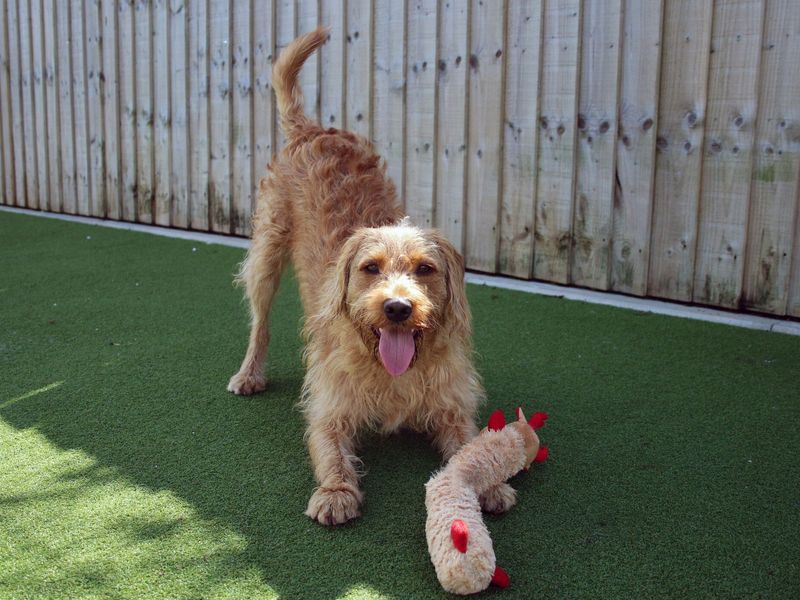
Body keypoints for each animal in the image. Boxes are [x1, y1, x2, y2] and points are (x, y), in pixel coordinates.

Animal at [227, 28, 512, 524]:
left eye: (425, 269)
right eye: (370, 268)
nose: (397, 307)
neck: (391, 370)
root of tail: (312, 129)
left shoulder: (451, 408)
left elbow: (469, 445)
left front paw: (490, 480)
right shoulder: (329, 409)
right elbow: (331, 450)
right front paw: (337, 491)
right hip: (266, 252)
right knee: (259, 321)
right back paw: (249, 374)